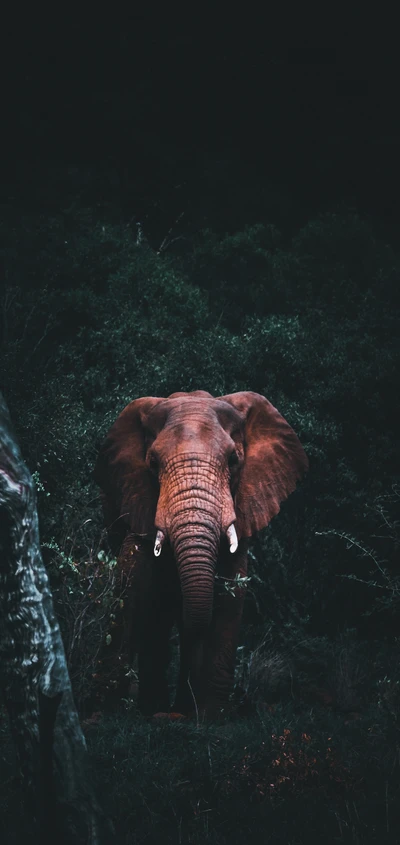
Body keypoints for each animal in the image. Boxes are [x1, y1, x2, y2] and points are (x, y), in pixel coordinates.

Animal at [94, 390, 310, 720]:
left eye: (233, 460)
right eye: (152, 462)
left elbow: (231, 590)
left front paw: (212, 716)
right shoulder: (137, 498)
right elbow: (134, 584)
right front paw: (111, 707)